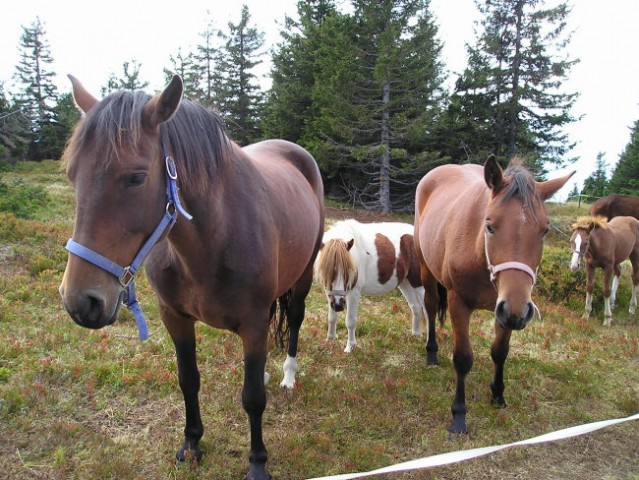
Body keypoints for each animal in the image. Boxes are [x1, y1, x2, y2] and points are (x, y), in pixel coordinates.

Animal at [58, 73, 324, 478]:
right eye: (73, 175)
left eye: (136, 177)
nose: (81, 302)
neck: (213, 238)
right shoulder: (175, 317)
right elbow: (188, 380)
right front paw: (192, 444)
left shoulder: (253, 323)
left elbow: (253, 398)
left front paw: (257, 463)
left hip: (304, 277)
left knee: (294, 320)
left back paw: (288, 375)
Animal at [314, 220, 428, 352]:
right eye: (327, 272)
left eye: (348, 270)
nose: (338, 305)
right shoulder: (329, 293)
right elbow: (331, 318)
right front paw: (330, 339)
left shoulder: (353, 294)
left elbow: (350, 321)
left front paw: (350, 347)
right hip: (406, 283)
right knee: (416, 307)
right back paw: (415, 335)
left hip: (419, 285)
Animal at [416, 158, 576, 436]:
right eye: (489, 226)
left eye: (544, 231)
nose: (519, 310)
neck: (480, 254)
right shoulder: (460, 303)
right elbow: (463, 359)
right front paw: (459, 416)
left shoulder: (507, 308)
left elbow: (500, 352)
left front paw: (498, 395)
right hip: (426, 267)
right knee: (431, 305)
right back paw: (432, 354)